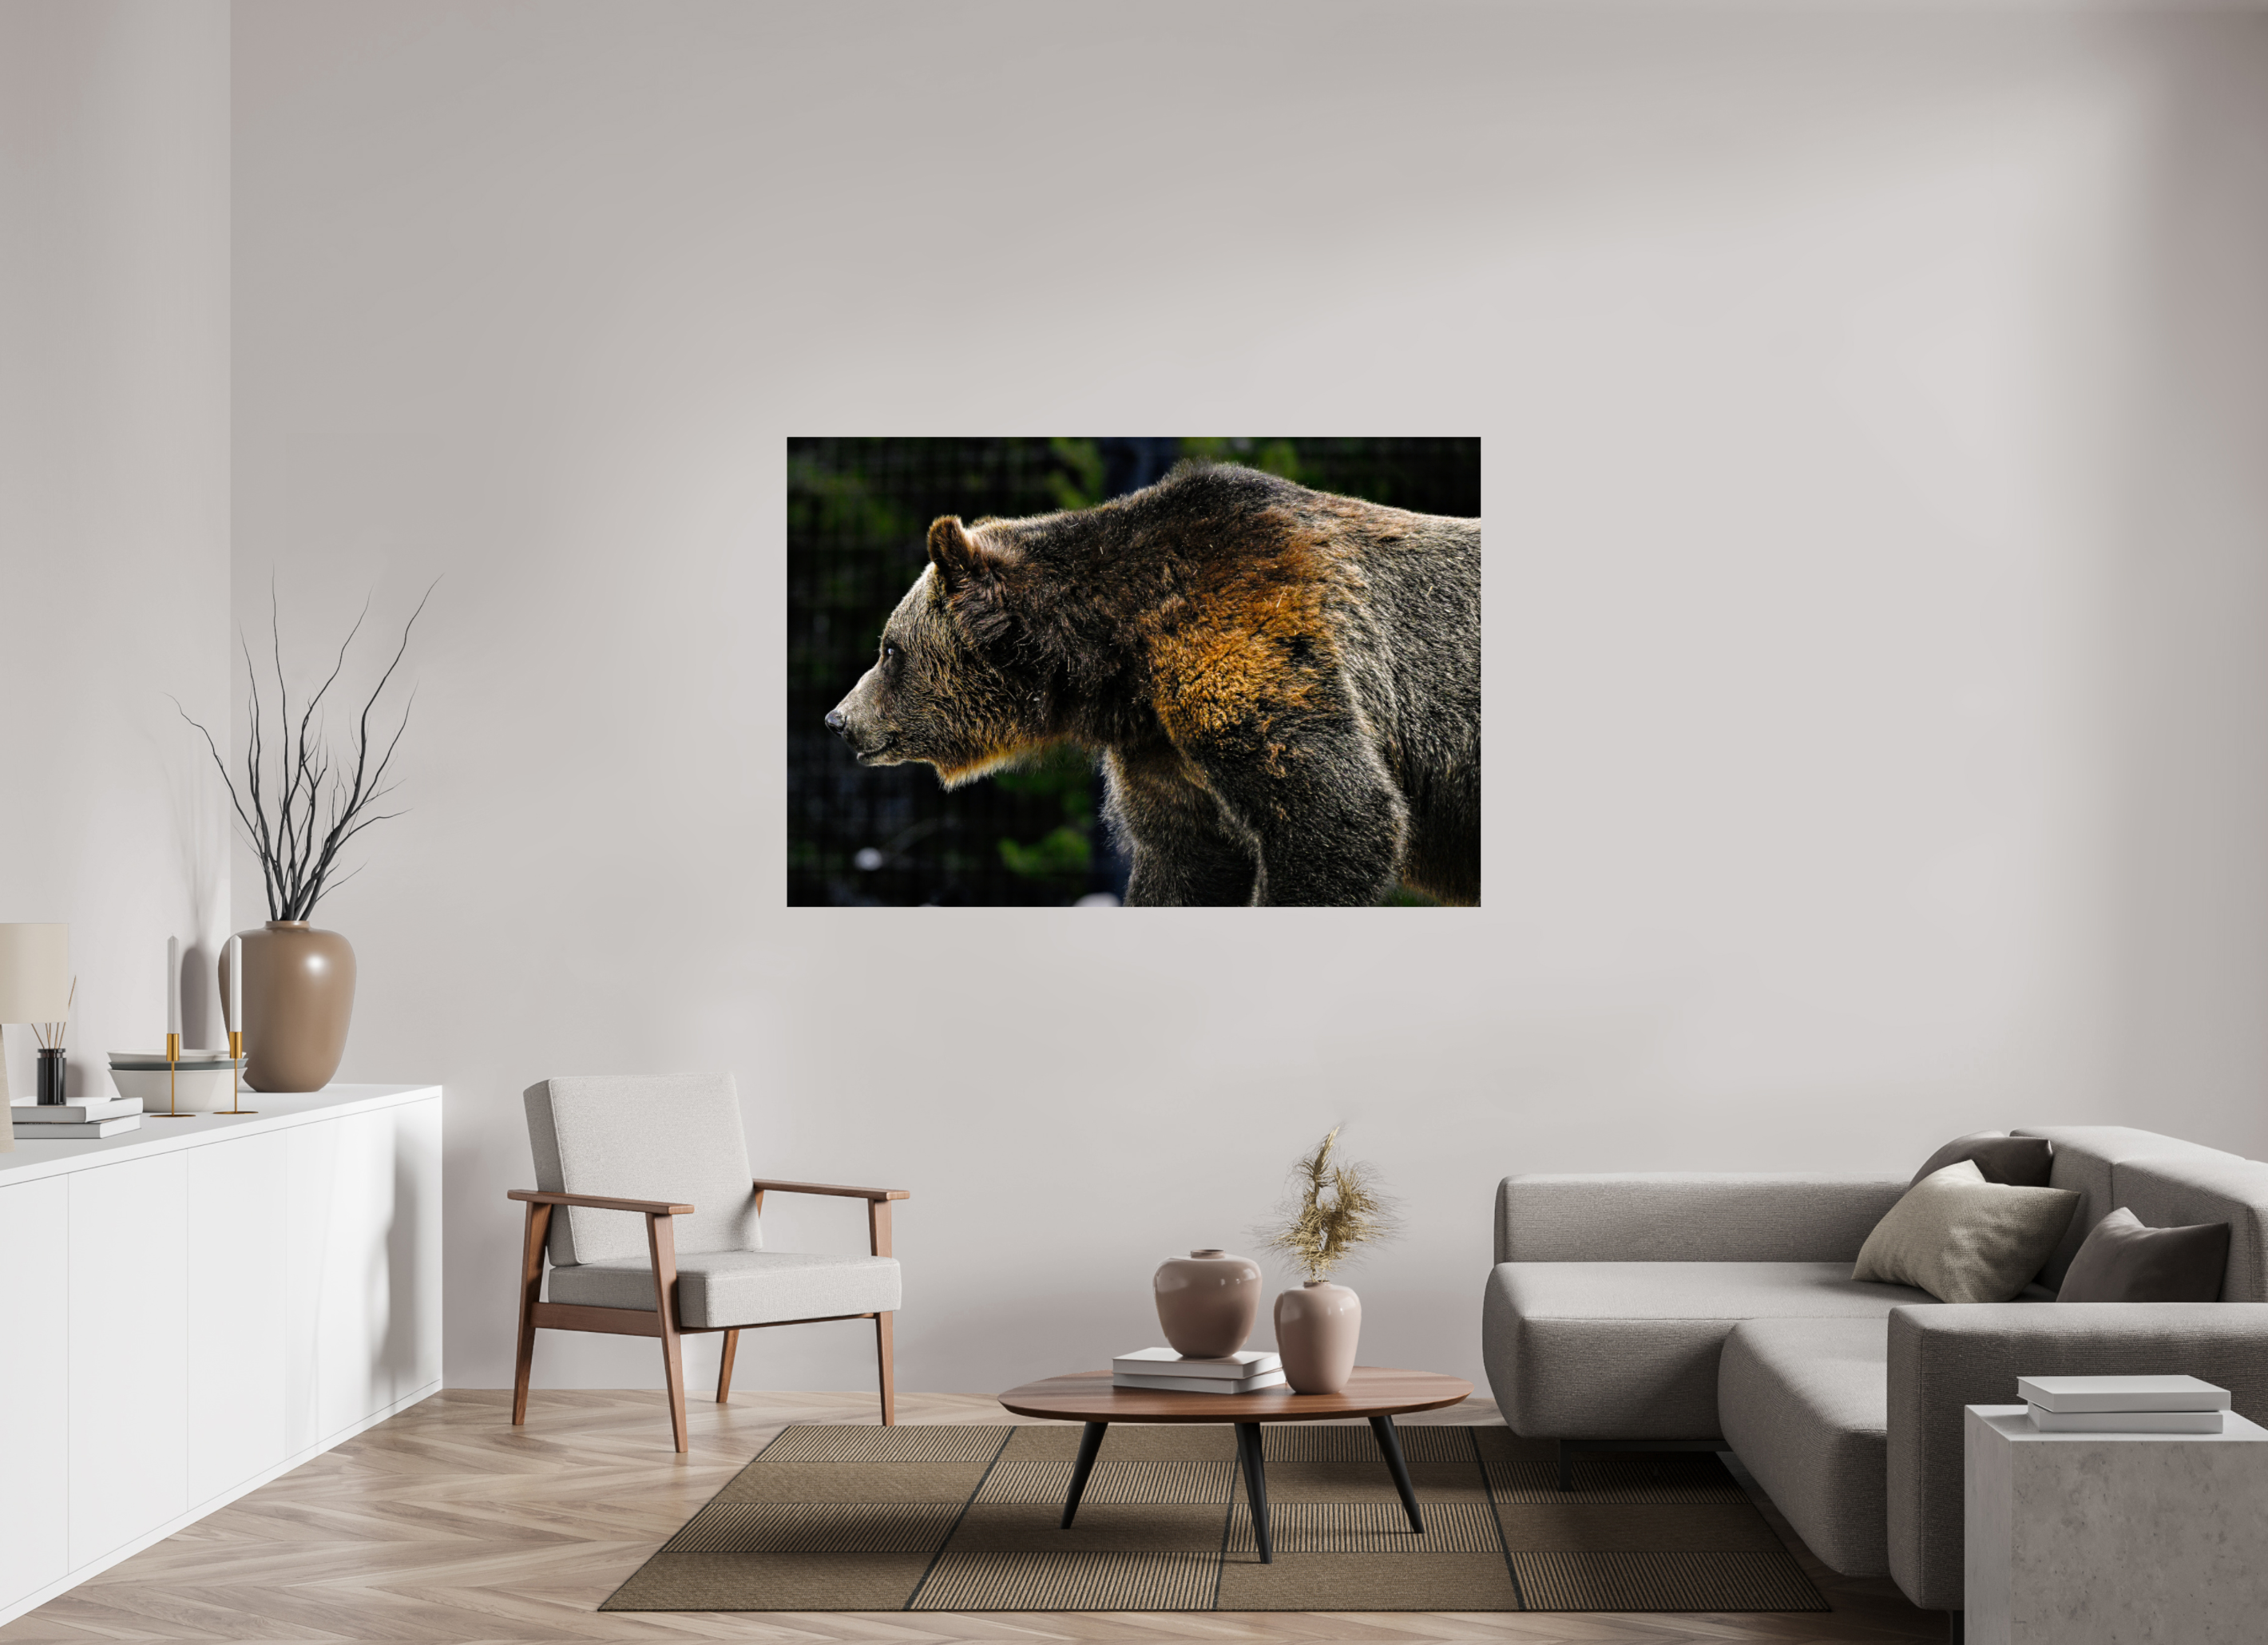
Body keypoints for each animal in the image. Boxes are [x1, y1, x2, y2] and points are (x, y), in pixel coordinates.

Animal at [824, 462, 1479, 906]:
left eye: (889, 649)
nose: (839, 719)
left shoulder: (1247, 649)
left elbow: (1340, 817)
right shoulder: (1160, 747)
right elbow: (1183, 860)